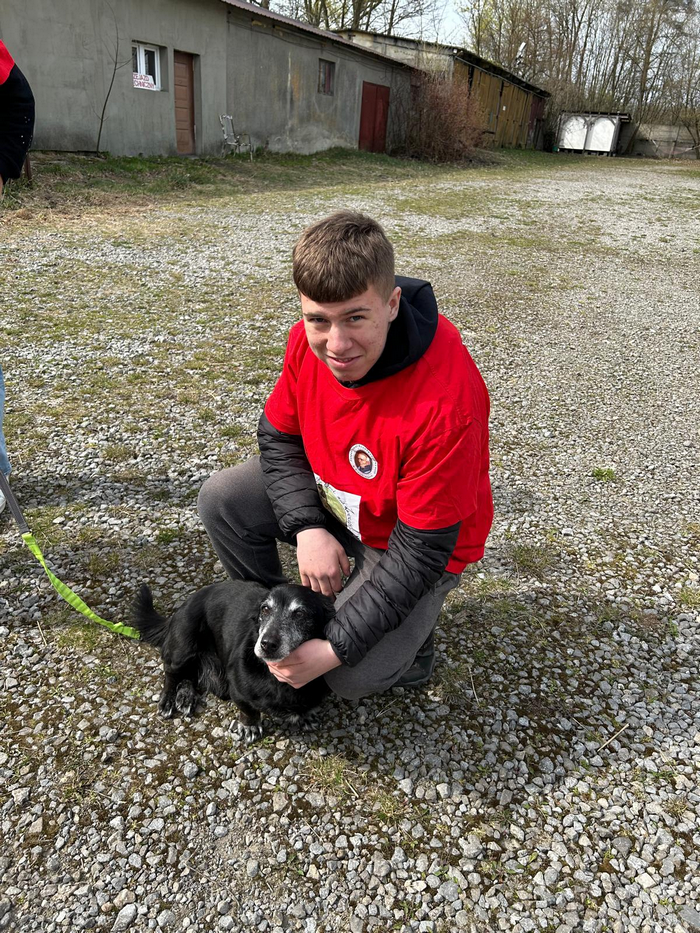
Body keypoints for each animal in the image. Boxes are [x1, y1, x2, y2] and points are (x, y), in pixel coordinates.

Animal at [133, 580, 334, 742]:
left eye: (300, 614)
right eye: (265, 609)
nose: (267, 644)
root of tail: (181, 607)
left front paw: (306, 715)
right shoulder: (237, 690)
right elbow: (248, 710)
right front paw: (250, 726)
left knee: (190, 676)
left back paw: (185, 696)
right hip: (183, 649)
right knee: (171, 673)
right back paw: (168, 699)